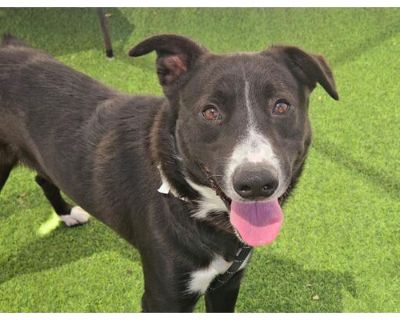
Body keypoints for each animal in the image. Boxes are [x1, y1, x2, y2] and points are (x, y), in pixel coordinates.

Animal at [0, 33, 338, 312]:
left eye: (281, 106)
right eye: (209, 112)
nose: (256, 184)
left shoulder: (227, 285)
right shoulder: (165, 298)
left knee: (42, 176)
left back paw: (66, 214)